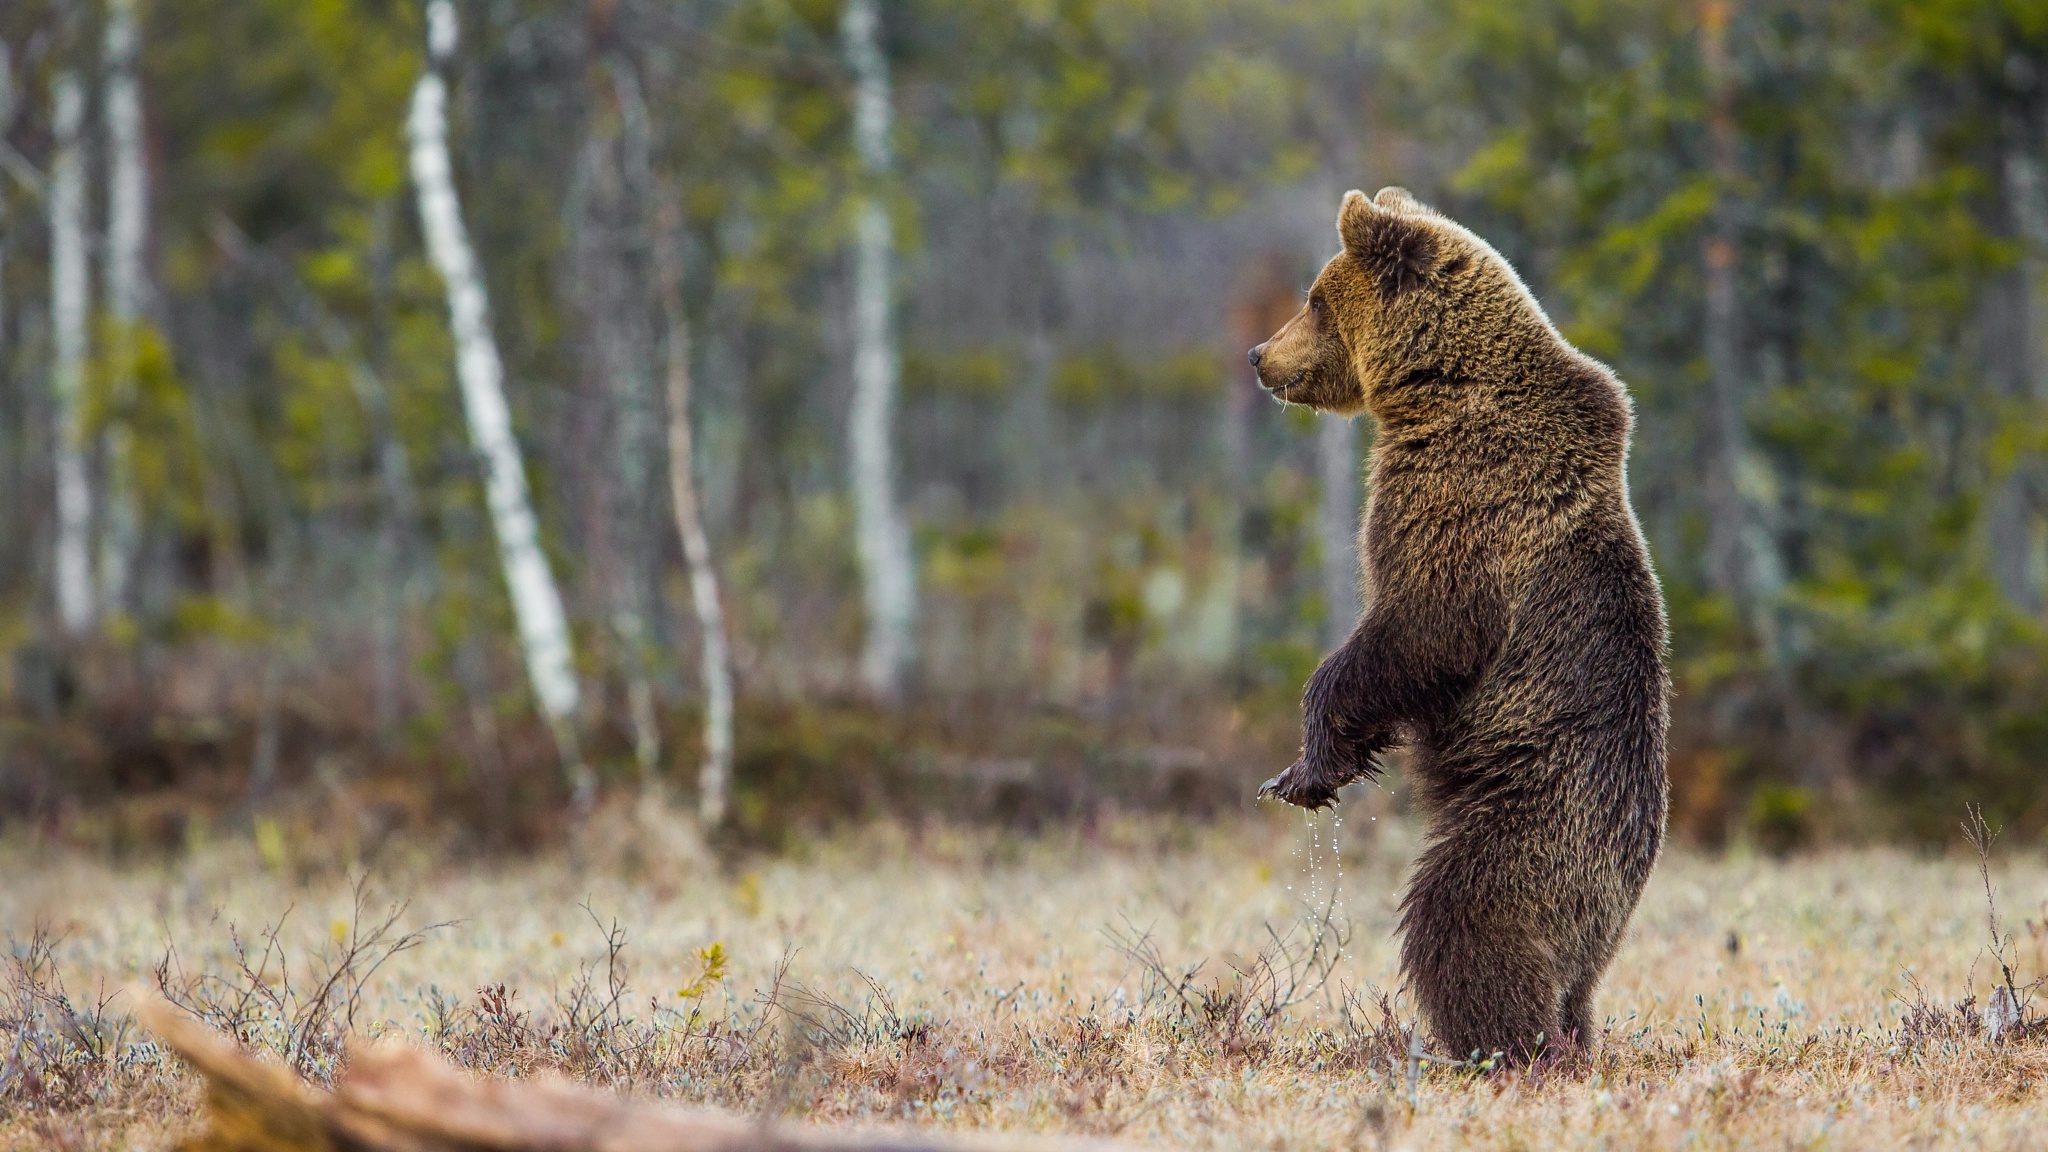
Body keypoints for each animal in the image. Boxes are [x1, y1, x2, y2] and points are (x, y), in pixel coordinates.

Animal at [1245, 186, 1662, 1057]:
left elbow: (1422, 630)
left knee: (1464, 917)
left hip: (1535, 820)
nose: (1259, 355)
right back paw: (1568, 1033)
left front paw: (1304, 771)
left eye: (1314, 298)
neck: (1436, 388)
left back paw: (1496, 1042)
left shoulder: (1464, 499)